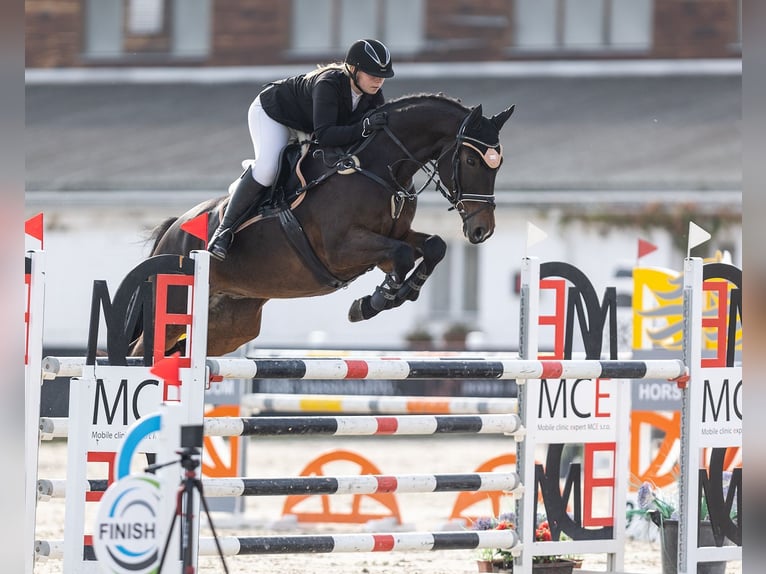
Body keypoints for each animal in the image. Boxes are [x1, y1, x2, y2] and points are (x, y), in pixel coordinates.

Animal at [142, 93, 515, 357]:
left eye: (498, 165)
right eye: (470, 161)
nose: (482, 230)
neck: (376, 168)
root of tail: (173, 229)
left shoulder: (393, 237)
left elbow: (434, 246)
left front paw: (400, 293)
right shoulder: (340, 249)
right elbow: (402, 255)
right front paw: (374, 301)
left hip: (229, 325)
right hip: (177, 303)